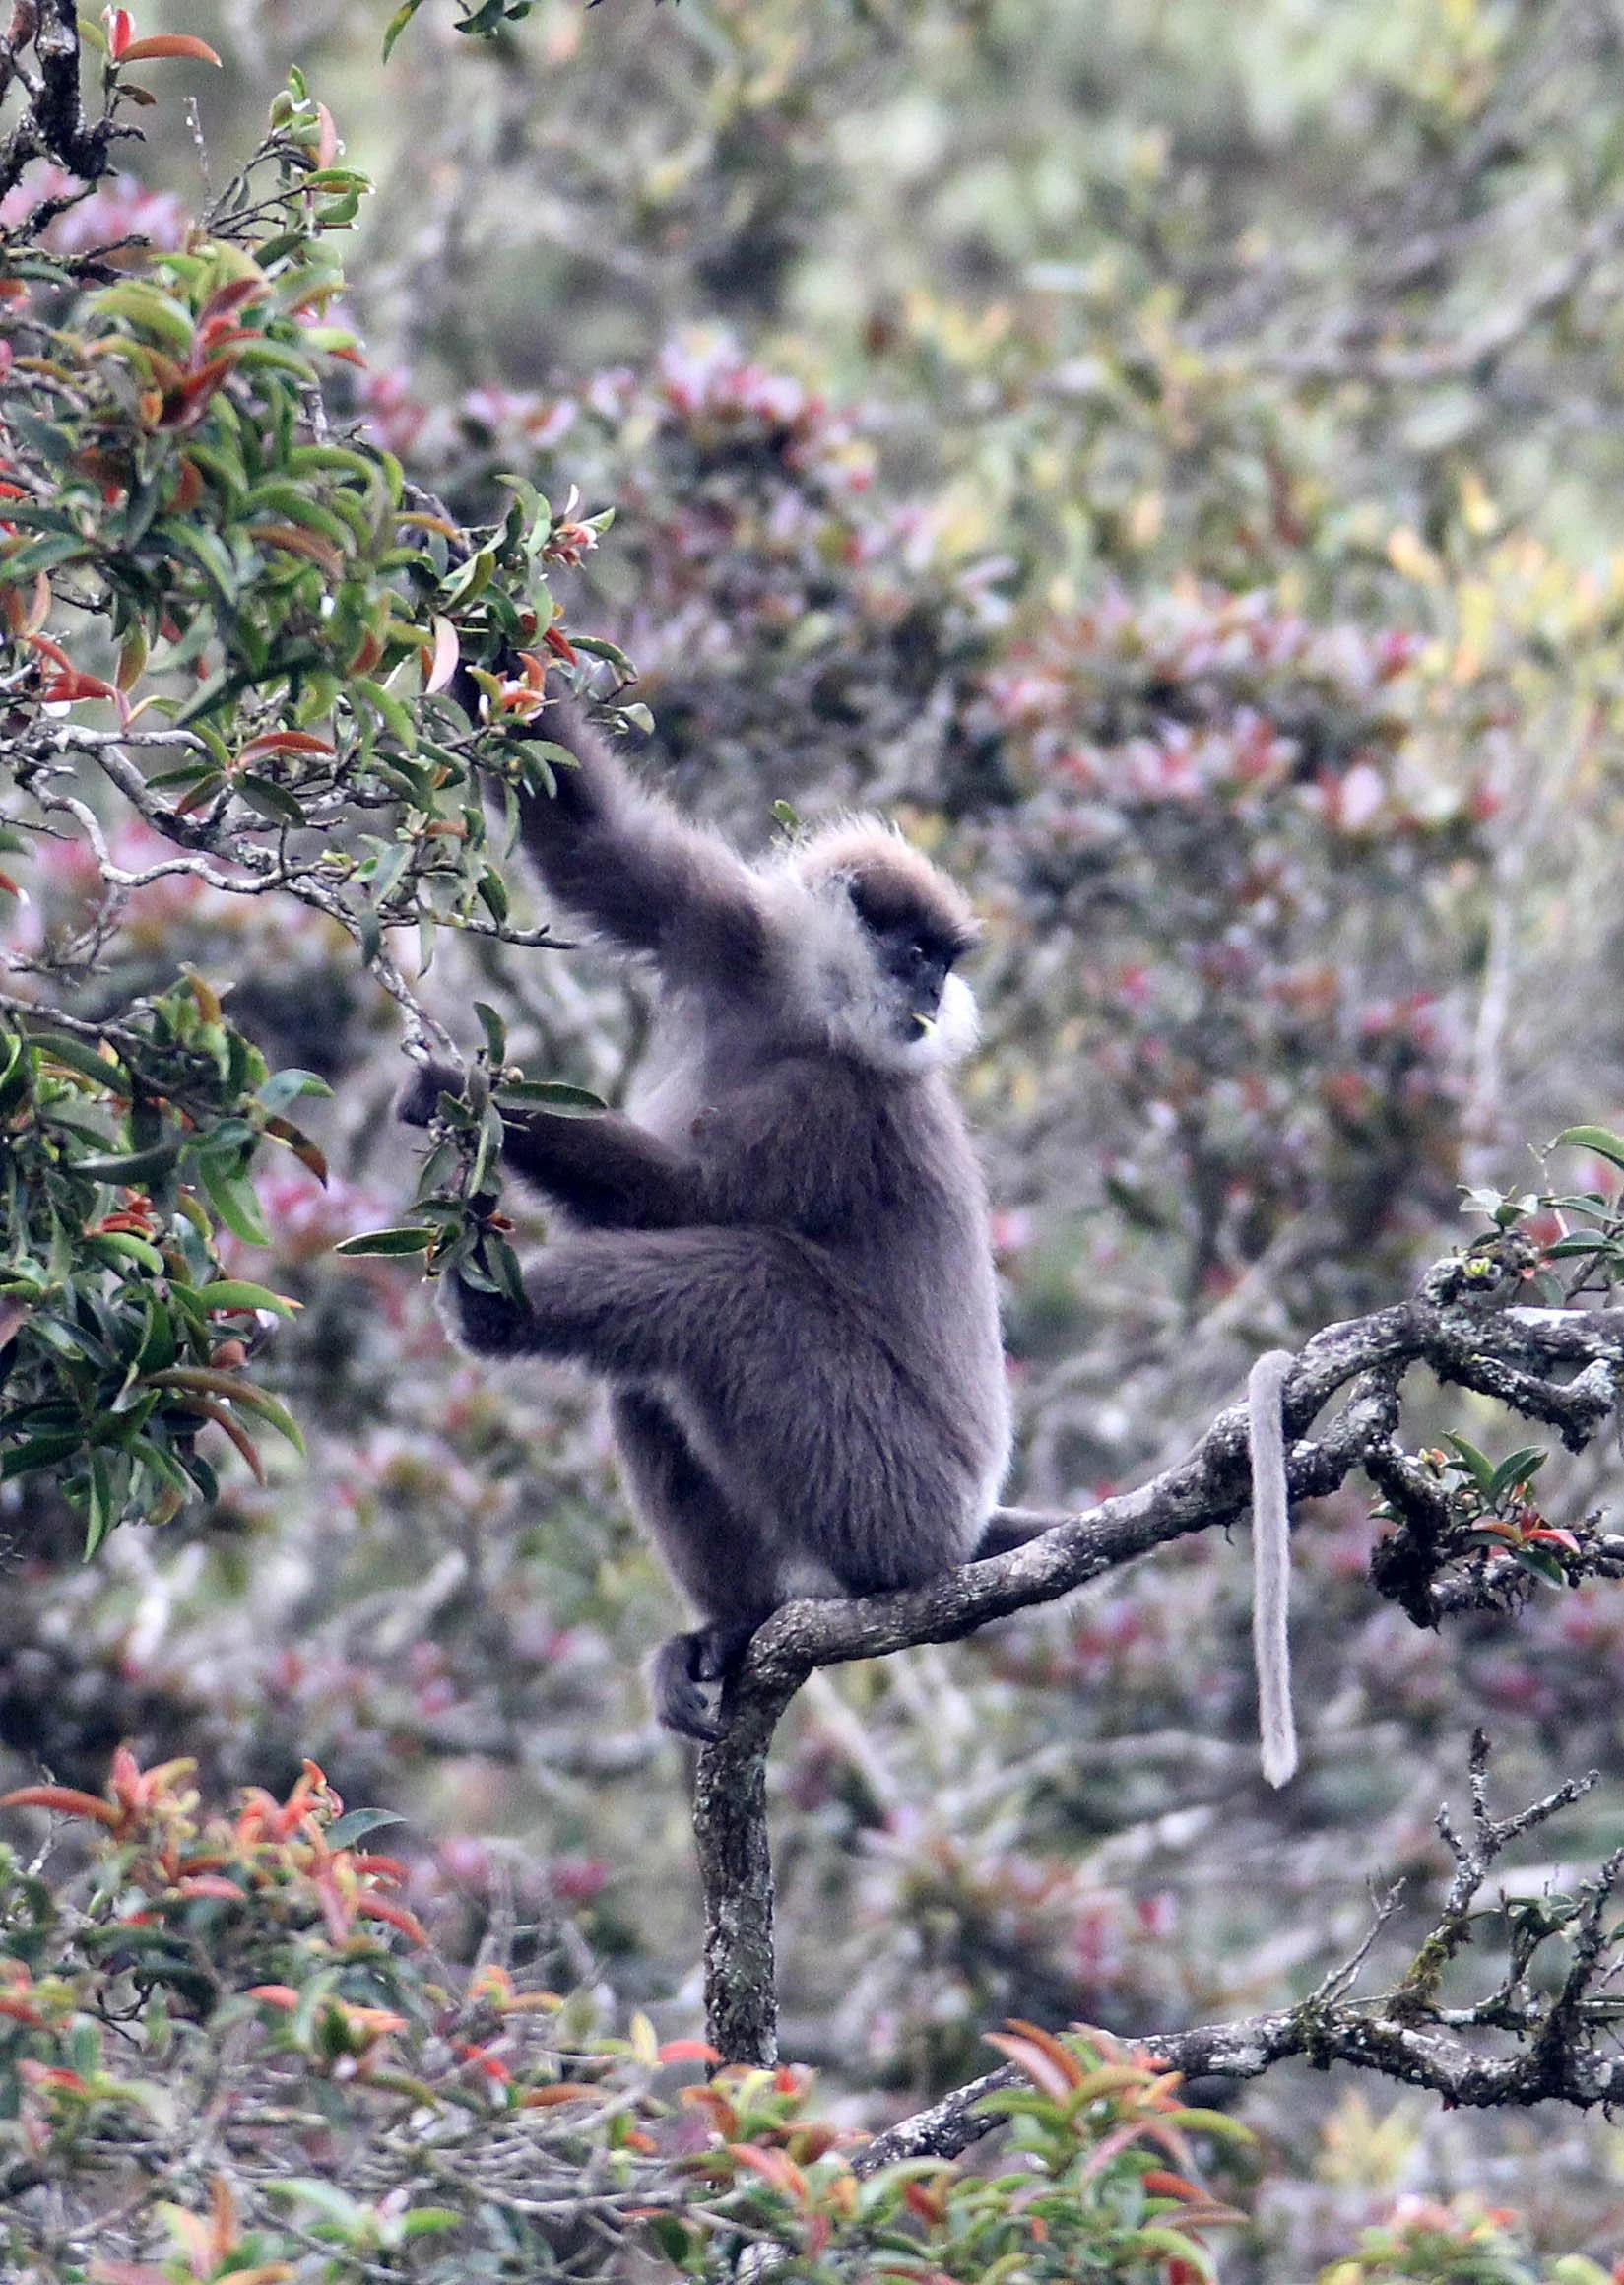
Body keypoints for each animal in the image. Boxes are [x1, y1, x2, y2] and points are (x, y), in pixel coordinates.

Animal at [399, 691, 1015, 1742]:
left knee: (744, 1281)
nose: (935, 993)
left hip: (896, 1494)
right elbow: (589, 840)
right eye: (915, 954)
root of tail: (961, 1529)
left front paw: (466, 1094)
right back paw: (734, 1626)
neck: (803, 1018)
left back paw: (499, 1313)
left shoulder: (845, 1102)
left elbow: (687, 1200)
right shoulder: (728, 930)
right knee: (649, 1376)